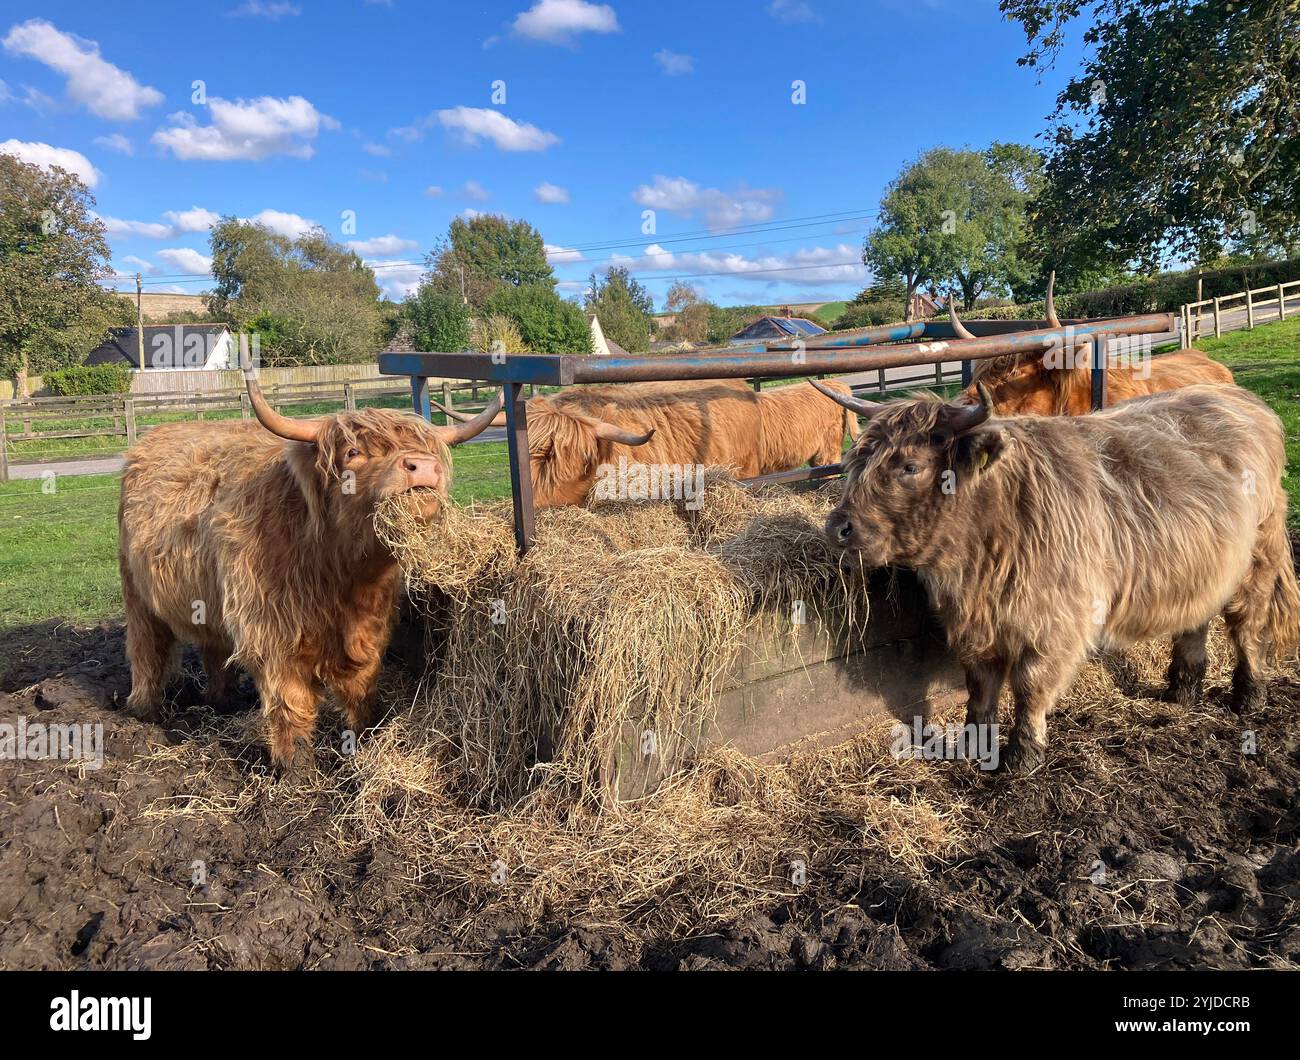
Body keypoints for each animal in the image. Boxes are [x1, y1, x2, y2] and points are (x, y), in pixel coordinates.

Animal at [118, 358, 501, 769]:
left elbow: (362, 687)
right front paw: (297, 769)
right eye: (353, 453)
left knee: (214, 648)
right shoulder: (272, 633)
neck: (341, 572)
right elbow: (292, 704)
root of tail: (148, 441)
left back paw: (222, 701)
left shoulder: (370, 626)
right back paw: (145, 711)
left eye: (428, 450)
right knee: (146, 647)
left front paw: (365, 735)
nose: (424, 467)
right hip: (135, 592)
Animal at [811, 377, 1300, 775]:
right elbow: (980, 684)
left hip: (1258, 559)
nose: (838, 527)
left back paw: (1249, 694)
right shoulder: (975, 624)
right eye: (856, 460)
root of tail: (1241, 398)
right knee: (1195, 620)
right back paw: (1183, 689)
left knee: (1246, 627)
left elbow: (1030, 686)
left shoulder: (1054, 623)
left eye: (909, 466)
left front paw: (1022, 755)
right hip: (1201, 565)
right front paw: (973, 744)